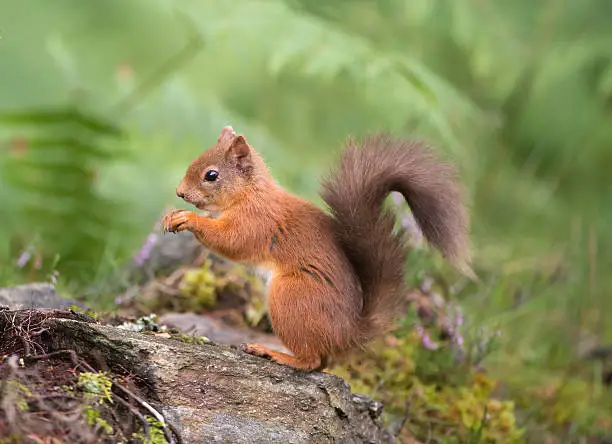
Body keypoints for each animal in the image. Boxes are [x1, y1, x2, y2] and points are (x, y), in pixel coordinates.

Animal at [163, 125, 474, 372]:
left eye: (211, 175)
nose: (179, 192)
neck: (250, 193)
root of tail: (347, 334)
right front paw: (172, 215)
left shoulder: (256, 221)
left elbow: (230, 241)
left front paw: (188, 218)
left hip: (291, 297)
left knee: (311, 361)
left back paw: (274, 353)